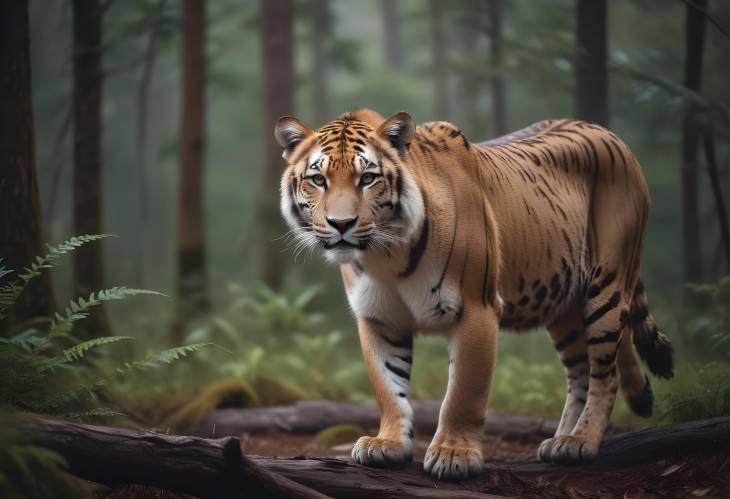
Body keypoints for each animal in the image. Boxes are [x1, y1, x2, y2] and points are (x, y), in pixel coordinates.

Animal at [272, 108, 672, 480]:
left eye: (367, 178)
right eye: (318, 180)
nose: (341, 224)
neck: (385, 255)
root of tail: (609, 133)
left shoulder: (476, 310)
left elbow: (464, 392)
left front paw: (454, 454)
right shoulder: (379, 319)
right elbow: (388, 388)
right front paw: (387, 443)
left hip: (606, 285)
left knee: (605, 375)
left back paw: (580, 441)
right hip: (564, 306)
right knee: (580, 374)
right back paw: (560, 439)